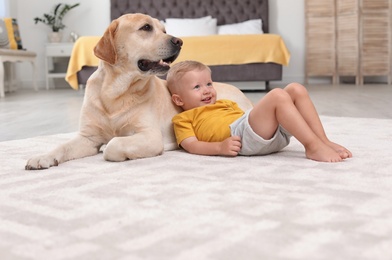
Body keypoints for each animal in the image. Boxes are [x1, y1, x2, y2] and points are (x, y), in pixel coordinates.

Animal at [24, 13, 253, 171]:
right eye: (146, 27)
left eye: (163, 30)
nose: (179, 41)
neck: (115, 93)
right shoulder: (87, 138)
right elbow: (62, 146)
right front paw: (43, 157)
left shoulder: (150, 136)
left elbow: (114, 143)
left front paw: (108, 148)